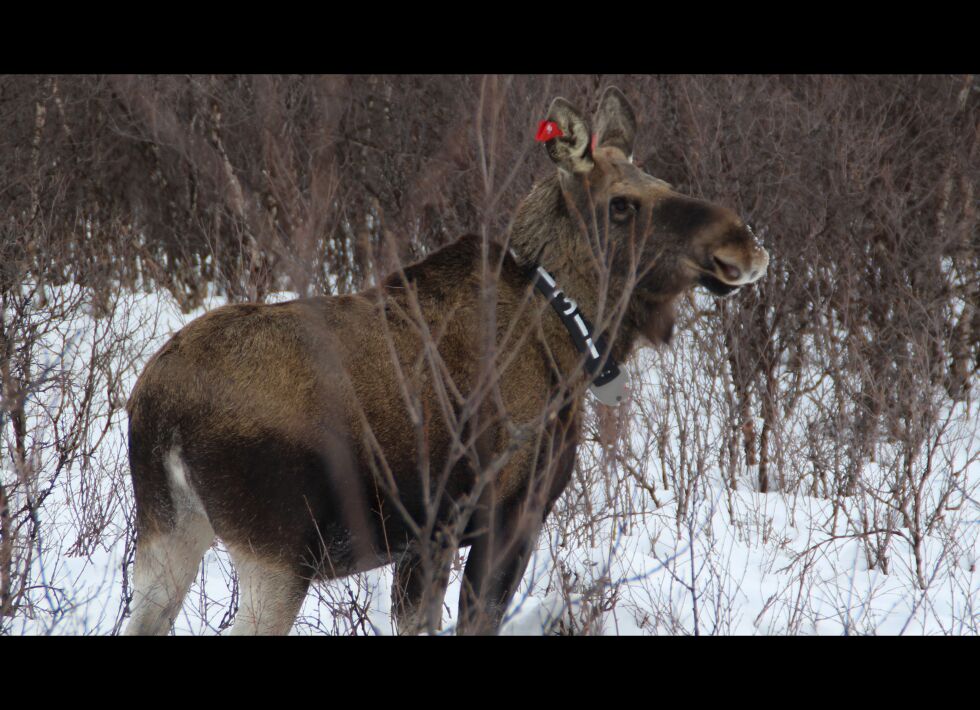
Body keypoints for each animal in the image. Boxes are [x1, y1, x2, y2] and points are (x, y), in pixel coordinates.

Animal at [122, 86, 768, 636]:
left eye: (663, 180)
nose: (743, 243)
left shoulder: (425, 542)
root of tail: (159, 410)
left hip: (167, 529)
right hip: (276, 548)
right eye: (622, 205)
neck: (571, 340)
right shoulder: (508, 515)